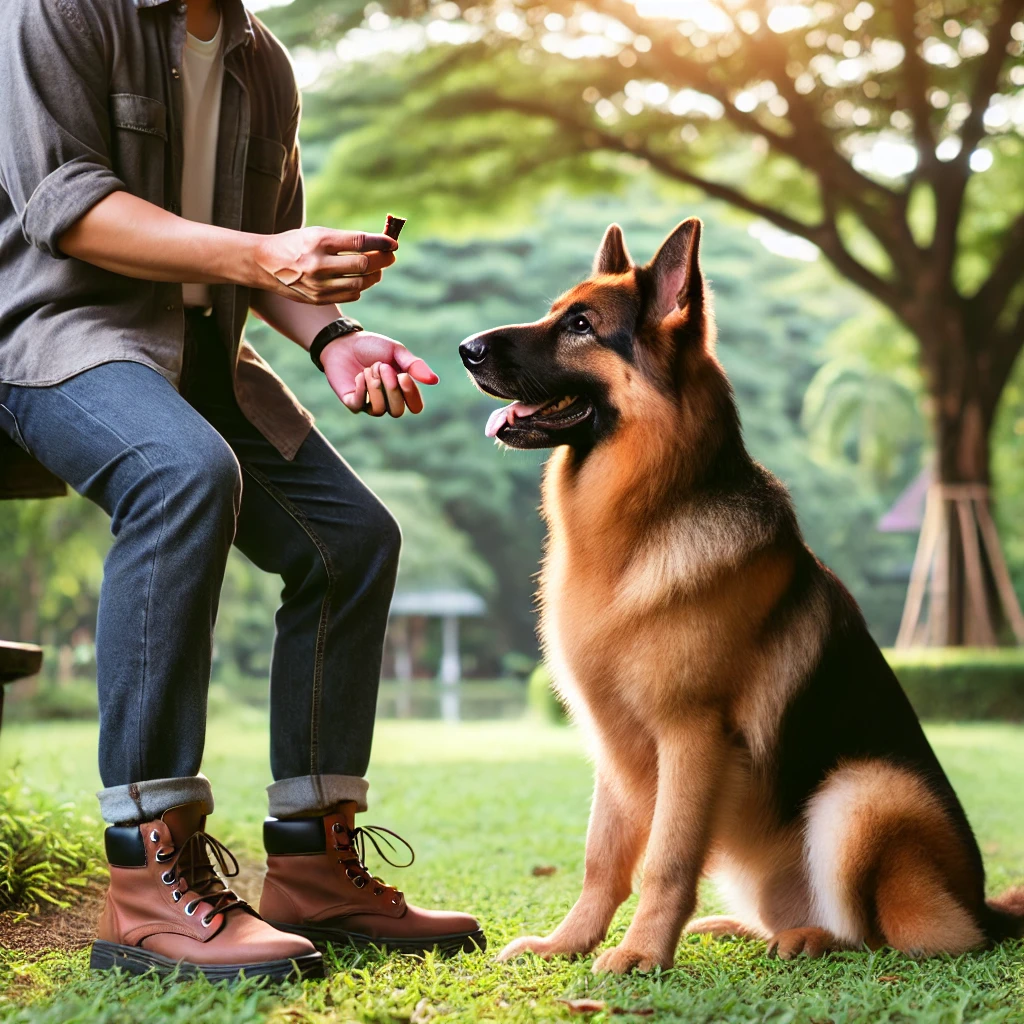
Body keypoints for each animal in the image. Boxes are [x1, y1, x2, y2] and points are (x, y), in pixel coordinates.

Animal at [458, 220, 1024, 970]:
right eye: (557, 312)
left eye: (581, 325)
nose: (465, 349)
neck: (650, 518)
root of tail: (984, 908)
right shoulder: (616, 746)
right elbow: (602, 861)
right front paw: (568, 944)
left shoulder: (691, 737)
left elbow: (666, 860)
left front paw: (641, 955)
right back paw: (744, 928)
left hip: (863, 794)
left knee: (888, 938)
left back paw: (812, 939)